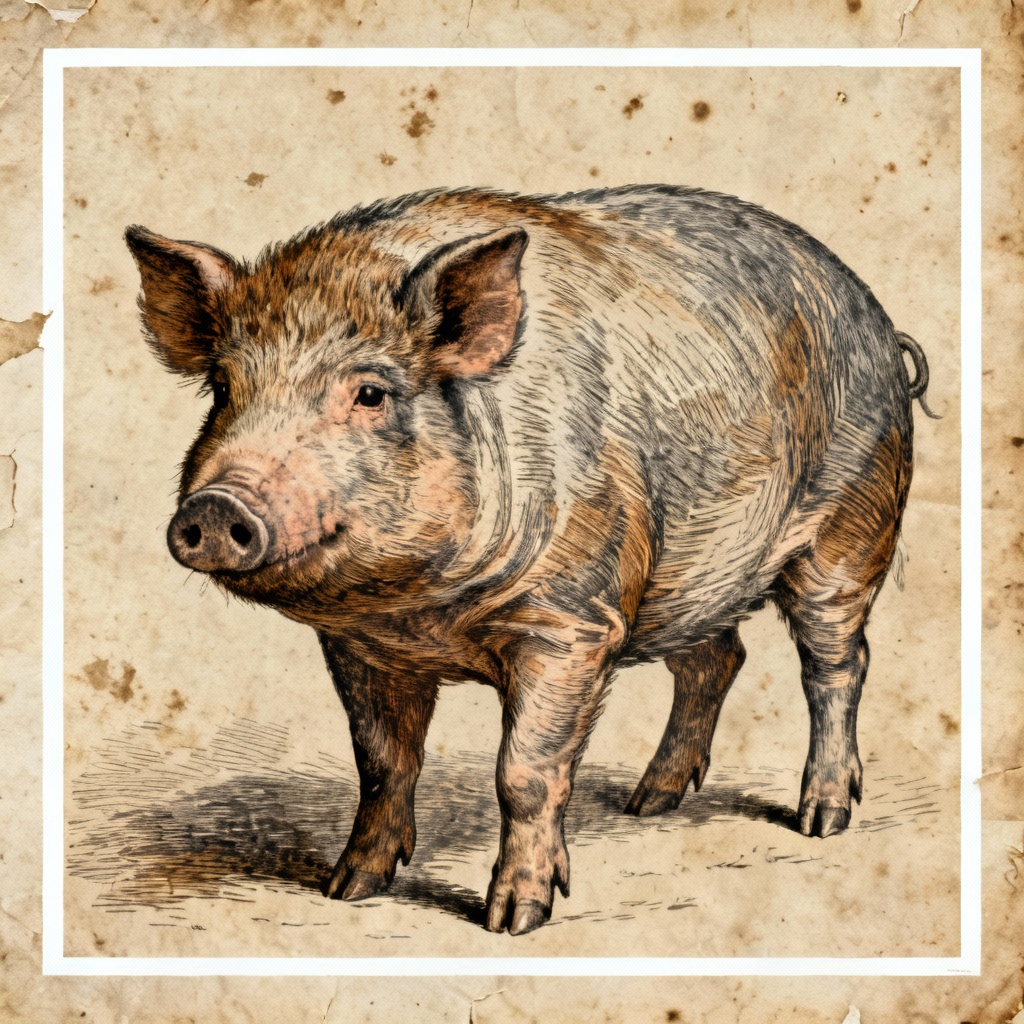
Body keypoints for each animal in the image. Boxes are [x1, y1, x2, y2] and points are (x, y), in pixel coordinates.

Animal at [125, 185, 933, 935]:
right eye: (222, 389)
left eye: (371, 392)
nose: (216, 507)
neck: (420, 610)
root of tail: (878, 321)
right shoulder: (359, 645)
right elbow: (382, 762)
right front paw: (348, 888)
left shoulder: (572, 621)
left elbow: (525, 773)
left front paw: (513, 920)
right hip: (690, 576)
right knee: (717, 659)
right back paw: (648, 803)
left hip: (853, 527)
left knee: (836, 664)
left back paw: (821, 819)